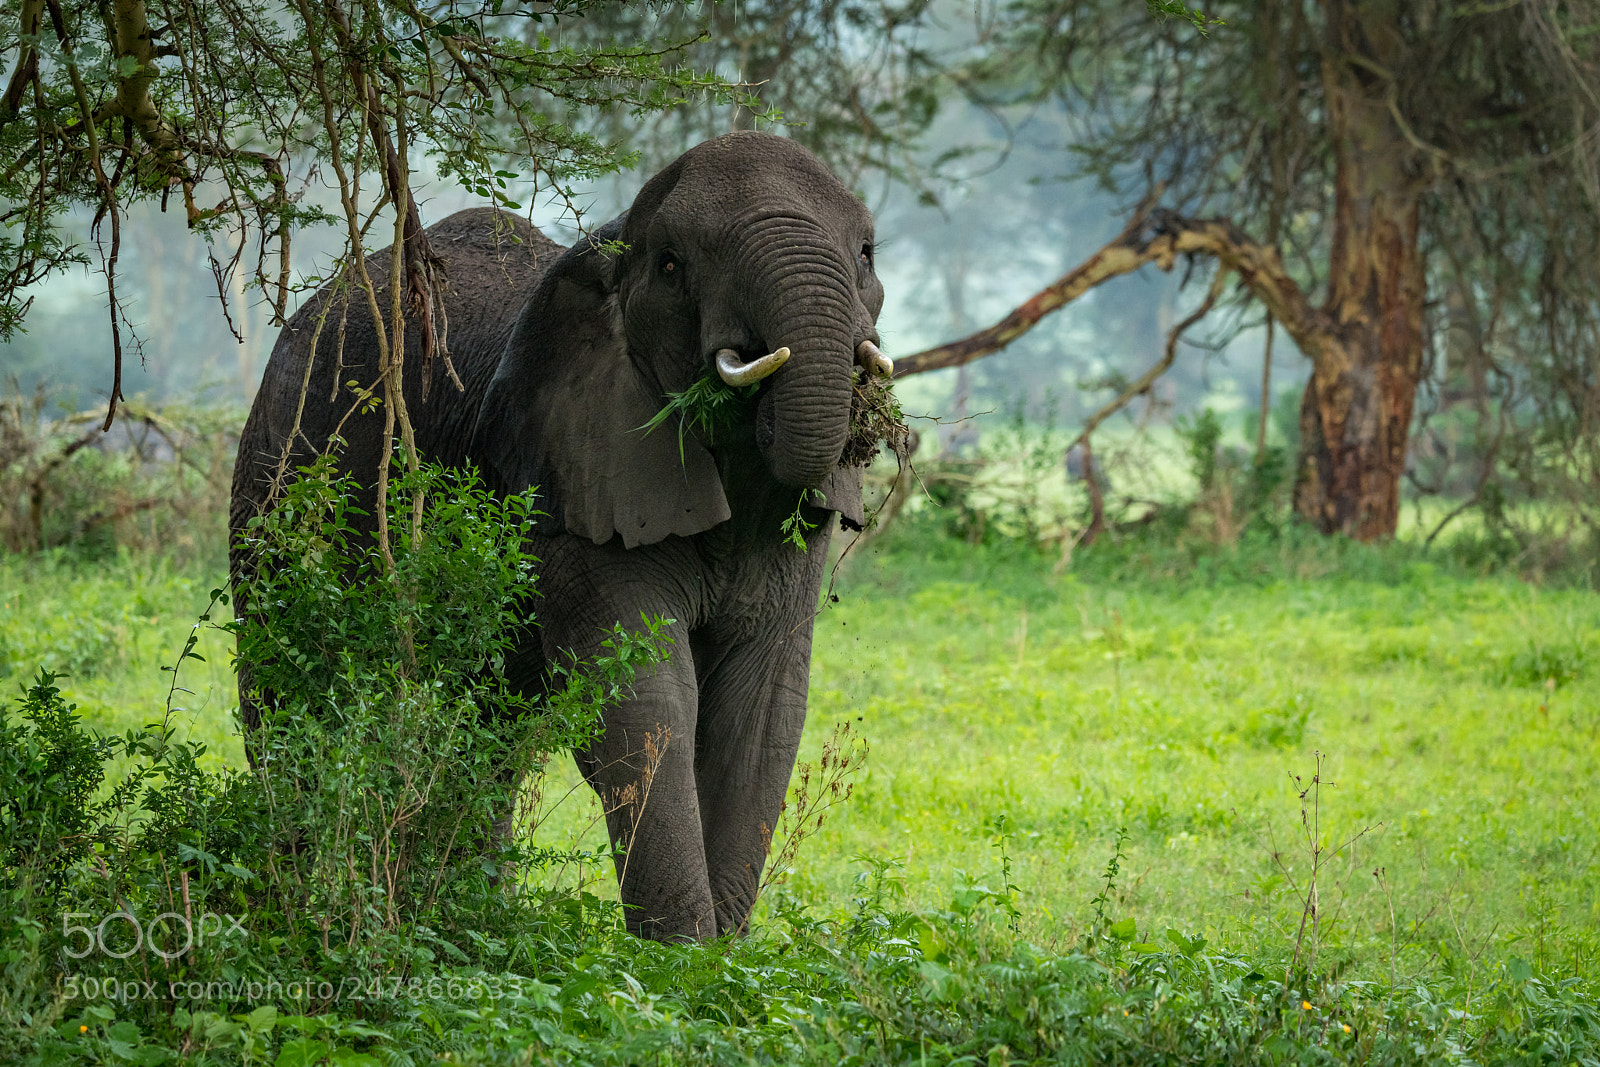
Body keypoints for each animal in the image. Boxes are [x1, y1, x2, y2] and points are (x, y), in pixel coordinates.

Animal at [231, 131, 891, 940]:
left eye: (867, 254)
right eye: (671, 265)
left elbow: (759, 709)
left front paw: (722, 956)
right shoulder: (568, 478)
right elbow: (646, 702)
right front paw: (682, 958)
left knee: (488, 731)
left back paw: (464, 914)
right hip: (275, 474)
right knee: (289, 689)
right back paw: (292, 904)